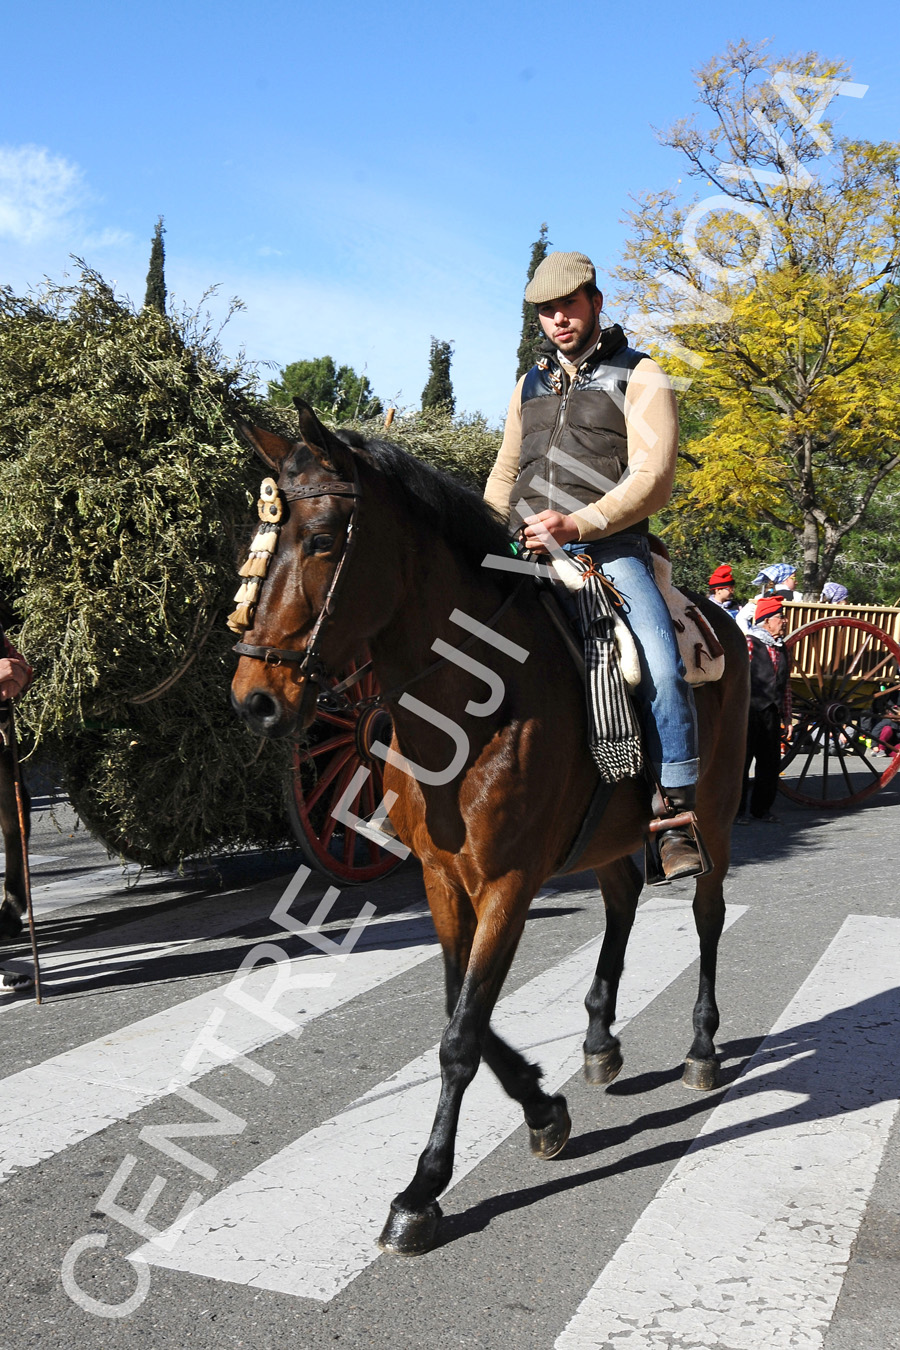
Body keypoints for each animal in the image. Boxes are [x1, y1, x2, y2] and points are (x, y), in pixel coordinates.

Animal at [229, 399, 750, 1252]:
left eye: (324, 540)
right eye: (262, 541)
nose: (254, 698)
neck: (470, 703)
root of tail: (726, 625)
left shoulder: (508, 884)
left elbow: (461, 1036)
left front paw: (423, 1189)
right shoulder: (445, 880)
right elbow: (459, 1008)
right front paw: (543, 1107)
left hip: (714, 815)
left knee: (707, 914)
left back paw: (703, 1048)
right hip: (607, 838)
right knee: (621, 901)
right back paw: (599, 1044)